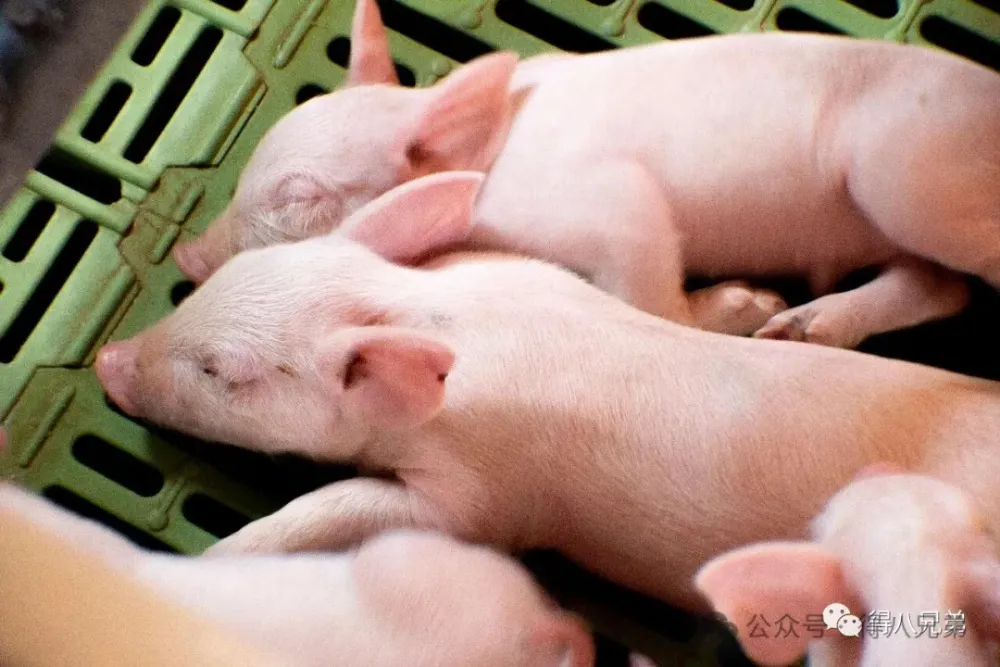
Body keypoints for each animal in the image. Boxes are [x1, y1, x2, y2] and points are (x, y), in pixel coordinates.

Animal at [97, 171, 1000, 615]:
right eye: (233, 276)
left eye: (224, 372)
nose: (108, 359)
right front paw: (749, 304)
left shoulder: (488, 497)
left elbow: (344, 510)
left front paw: (206, 562)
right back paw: (792, 325)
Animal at [171, 0, 1000, 349]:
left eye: (301, 195)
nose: (186, 254)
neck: (487, 167)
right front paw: (763, 313)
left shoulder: (615, 204)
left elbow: (648, 298)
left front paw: (744, 305)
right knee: (941, 288)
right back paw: (800, 329)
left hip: (906, 176)